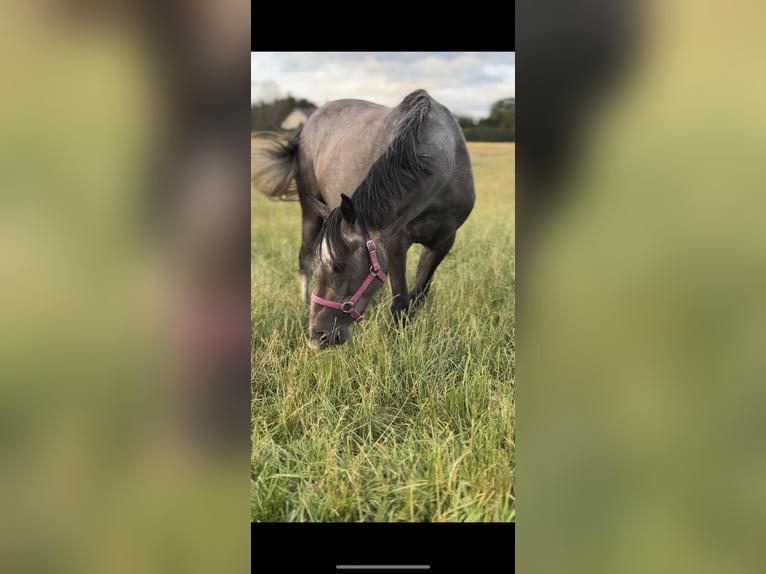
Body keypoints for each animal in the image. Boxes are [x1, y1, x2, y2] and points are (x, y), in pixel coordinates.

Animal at [251, 89, 475, 350]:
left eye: (339, 266)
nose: (317, 337)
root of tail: (308, 123)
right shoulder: (395, 243)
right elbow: (401, 302)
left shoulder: (443, 241)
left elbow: (418, 295)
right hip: (309, 208)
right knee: (304, 257)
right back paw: (303, 303)